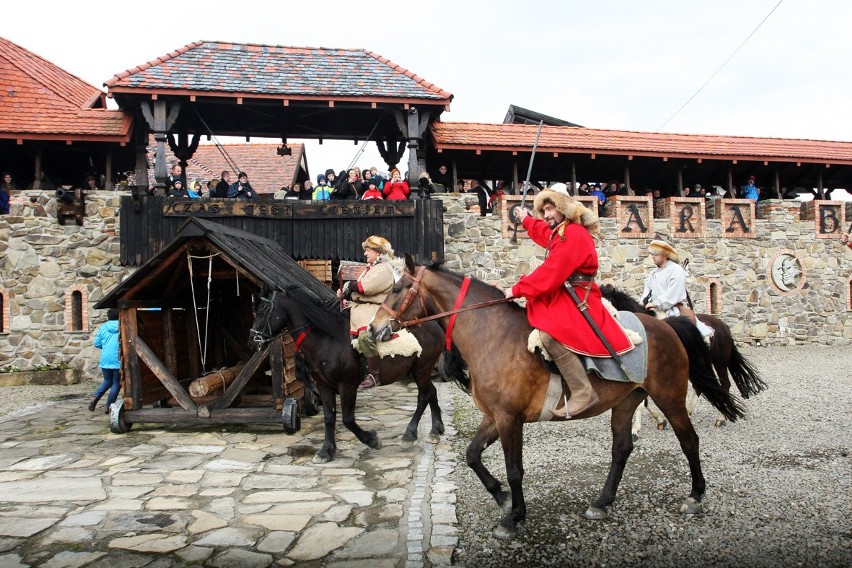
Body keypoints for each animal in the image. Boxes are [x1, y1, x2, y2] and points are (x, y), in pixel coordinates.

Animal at [248, 286, 450, 464]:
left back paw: (410, 434)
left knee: (423, 397)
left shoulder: (347, 386)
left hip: (422, 369)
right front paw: (325, 451)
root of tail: (434, 324)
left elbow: (347, 419)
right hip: (418, 371)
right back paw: (435, 430)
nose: (253, 342)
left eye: (263, 310)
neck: (327, 339)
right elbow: (329, 418)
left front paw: (372, 440)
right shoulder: (324, 386)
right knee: (431, 392)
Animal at [368, 260, 744, 540]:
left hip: (669, 396)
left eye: (398, 289)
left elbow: (515, 470)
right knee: (622, 449)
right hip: (626, 402)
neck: (492, 334)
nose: (372, 329)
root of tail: (667, 327)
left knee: (689, 440)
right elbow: (472, 455)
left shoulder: (509, 419)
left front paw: (513, 517)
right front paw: (502, 497)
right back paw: (602, 502)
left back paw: (695, 496)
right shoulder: (494, 417)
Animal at [600, 282, 764, 432]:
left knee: (725, 384)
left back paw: (721, 417)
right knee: (700, 385)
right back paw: (689, 411)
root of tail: (723, 326)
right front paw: (659, 420)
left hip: (720, 362)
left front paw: (635, 429)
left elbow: (641, 402)